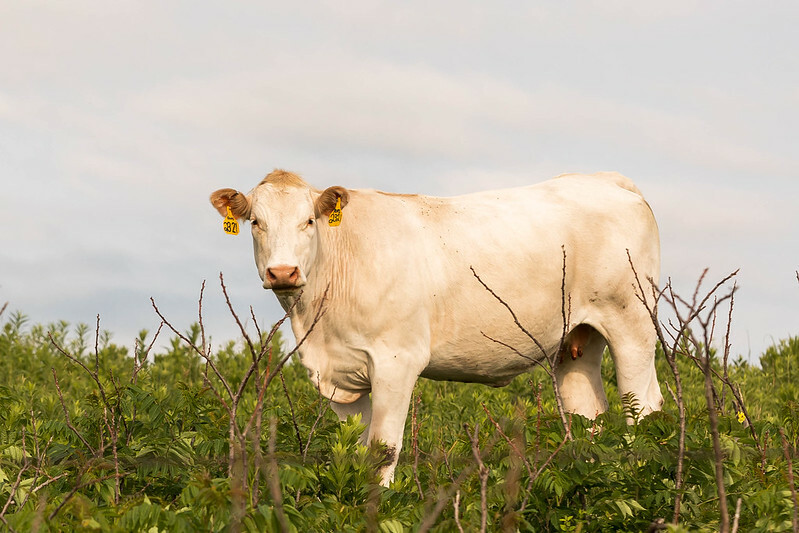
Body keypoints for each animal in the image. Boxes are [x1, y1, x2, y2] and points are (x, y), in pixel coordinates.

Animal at [211, 168, 664, 484]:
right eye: (256, 223)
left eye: (308, 221)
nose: (282, 272)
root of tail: (605, 179)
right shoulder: (339, 375)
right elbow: (355, 450)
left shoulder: (396, 360)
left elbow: (382, 450)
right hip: (576, 340)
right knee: (590, 416)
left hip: (632, 322)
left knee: (643, 408)